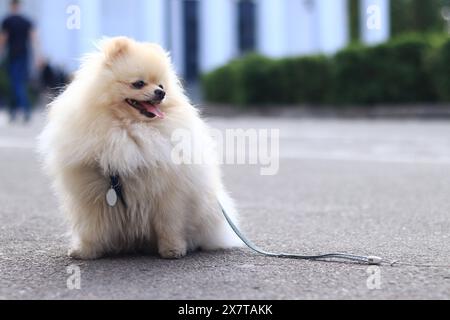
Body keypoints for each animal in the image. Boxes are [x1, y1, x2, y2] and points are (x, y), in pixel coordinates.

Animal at [39, 37, 243, 260]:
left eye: (161, 85)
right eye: (138, 83)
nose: (161, 93)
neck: (129, 129)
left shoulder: (168, 195)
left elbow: (169, 225)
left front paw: (173, 249)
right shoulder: (91, 195)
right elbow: (92, 226)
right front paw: (85, 251)